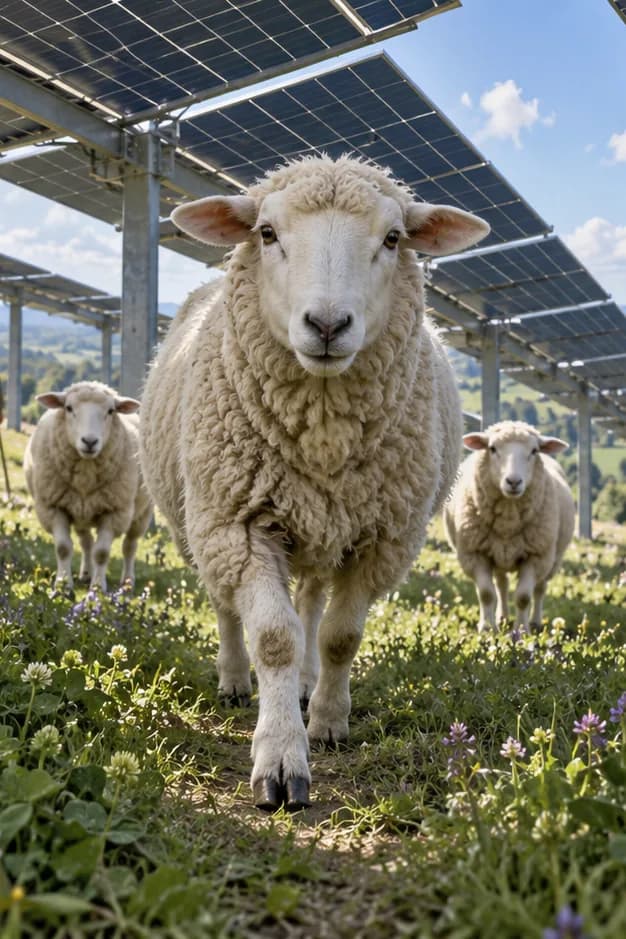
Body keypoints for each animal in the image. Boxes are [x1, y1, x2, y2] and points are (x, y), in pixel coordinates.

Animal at [24, 380, 152, 591]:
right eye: (68, 408)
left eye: (110, 411)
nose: (90, 441)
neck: (85, 476)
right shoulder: (53, 507)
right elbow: (63, 548)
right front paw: (63, 585)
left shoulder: (114, 511)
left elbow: (101, 553)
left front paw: (98, 587)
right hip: (80, 512)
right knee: (86, 542)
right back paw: (86, 574)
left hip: (142, 513)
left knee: (130, 546)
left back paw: (127, 581)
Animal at [140, 154, 490, 811]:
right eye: (267, 233)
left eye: (393, 238)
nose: (327, 324)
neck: (323, 431)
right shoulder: (238, 523)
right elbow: (273, 636)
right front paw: (280, 760)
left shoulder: (382, 538)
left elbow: (338, 637)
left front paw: (326, 720)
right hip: (204, 524)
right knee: (226, 606)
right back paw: (234, 679)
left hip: (321, 529)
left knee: (309, 602)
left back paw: (304, 686)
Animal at [444, 420, 575, 632]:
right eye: (492, 448)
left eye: (534, 451)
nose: (513, 481)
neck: (508, 520)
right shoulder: (474, 554)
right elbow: (486, 593)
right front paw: (487, 628)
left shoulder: (536, 556)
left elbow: (523, 597)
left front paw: (521, 630)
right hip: (499, 555)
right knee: (502, 586)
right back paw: (502, 617)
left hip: (553, 558)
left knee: (540, 589)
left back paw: (535, 622)